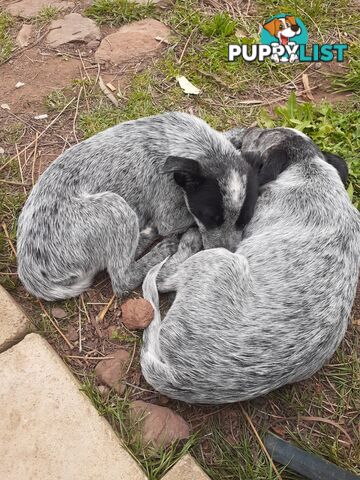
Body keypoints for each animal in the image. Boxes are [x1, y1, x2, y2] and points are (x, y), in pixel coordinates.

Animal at [17, 111, 258, 300]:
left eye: (244, 220)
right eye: (209, 217)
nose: (226, 254)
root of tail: (33, 276)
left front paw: (237, 135)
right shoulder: (169, 216)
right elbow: (175, 221)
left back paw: (147, 236)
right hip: (115, 207)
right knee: (122, 278)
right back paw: (166, 248)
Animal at [141, 127, 360, 404]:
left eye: (262, 136)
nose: (250, 130)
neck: (309, 168)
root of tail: (180, 377)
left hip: (220, 261)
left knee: (163, 277)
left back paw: (188, 241)